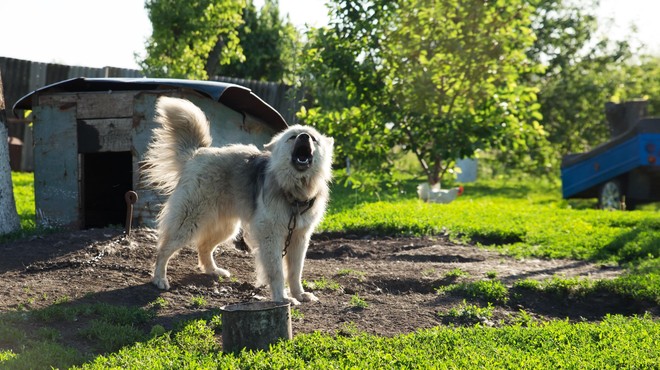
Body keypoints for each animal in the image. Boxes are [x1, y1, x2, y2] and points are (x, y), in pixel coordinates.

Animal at [141, 97, 332, 304]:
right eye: (292, 137)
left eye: (313, 138)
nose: (304, 137)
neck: (295, 190)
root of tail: (196, 154)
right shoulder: (270, 235)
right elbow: (277, 271)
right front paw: (282, 297)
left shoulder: (299, 237)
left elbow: (295, 272)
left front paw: (299, 294)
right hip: (188, 223)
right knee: (164, 249)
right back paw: (159, 278)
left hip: (225, 227)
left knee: (203, 246)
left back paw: (213, 271)